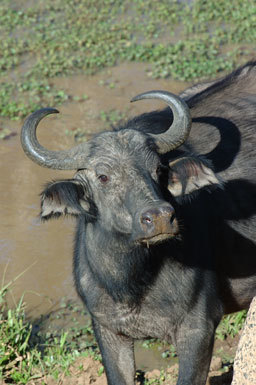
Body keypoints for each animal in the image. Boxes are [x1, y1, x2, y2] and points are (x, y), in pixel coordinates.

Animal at [21, 61, 256, 382]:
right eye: (103, 176)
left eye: (159, 169)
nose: (159, 217)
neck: (133, 282)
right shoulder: (107, 330)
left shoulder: (199, 328)